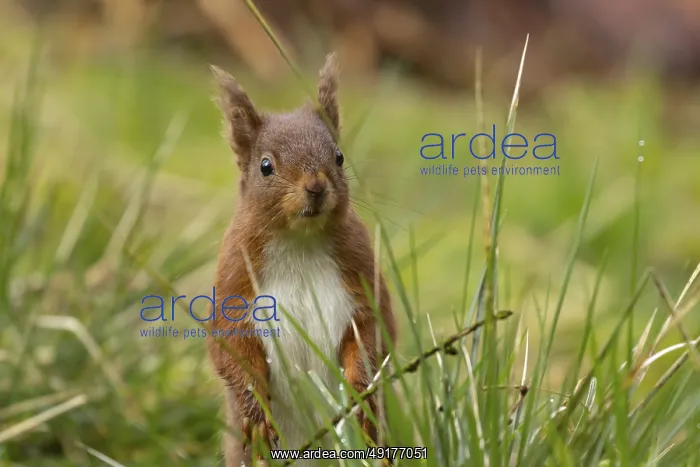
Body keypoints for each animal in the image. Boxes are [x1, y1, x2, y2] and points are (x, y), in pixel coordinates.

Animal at [206, 53, 397, 466]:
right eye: (265, 166)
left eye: (339, 157)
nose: (315, 186)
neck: (299, 242)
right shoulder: (234, 283)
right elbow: (229, 349)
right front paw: (256, 409)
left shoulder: (362, 277)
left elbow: (374, 333)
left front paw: (360, 394)